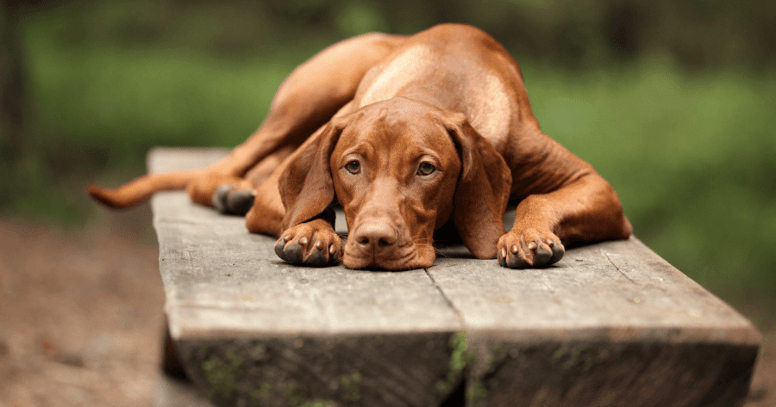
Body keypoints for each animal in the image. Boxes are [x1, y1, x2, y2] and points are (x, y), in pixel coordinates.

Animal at [86, 23, 632, 270]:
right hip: (312, 94)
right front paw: (314, 234)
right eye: (351, 166)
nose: (372, 242)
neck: (438, 86)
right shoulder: (291, 187)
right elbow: (309, 207)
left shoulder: (596, 185)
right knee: (219, 170)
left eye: (427, 169)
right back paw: (232, 191)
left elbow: (538, 197)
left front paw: (525, 234)